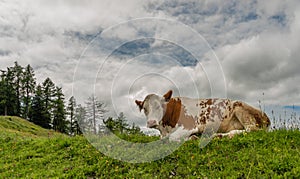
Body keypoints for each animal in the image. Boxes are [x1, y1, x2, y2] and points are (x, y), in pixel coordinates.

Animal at [135, 90, 270, 141]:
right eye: (144, 109)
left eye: (160, 106)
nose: (151, 123)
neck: (165, 128)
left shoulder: (189, 126)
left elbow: (172, 138)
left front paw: (192, 138)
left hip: (241, 110)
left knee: (251, 130)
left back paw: (222, 135)